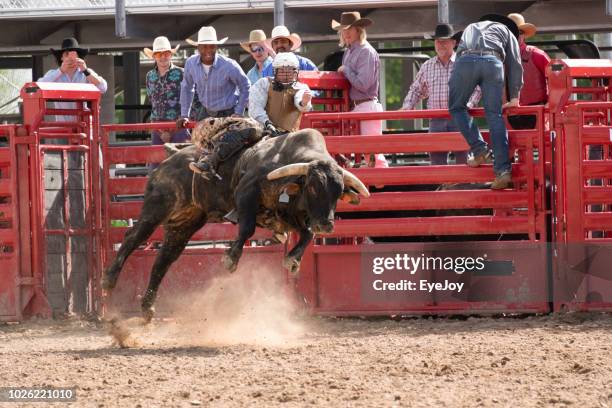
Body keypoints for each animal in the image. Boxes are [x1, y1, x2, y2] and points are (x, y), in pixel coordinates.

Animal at [101, 118, 368, 322]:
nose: (327, 225)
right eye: (313, 187)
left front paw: (293, 260)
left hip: (184, 223)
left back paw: (147, 308)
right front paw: (230, 258)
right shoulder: (246, 193)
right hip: (158, 205)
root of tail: (170, 159)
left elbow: (307, 234)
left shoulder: (287, 215)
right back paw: (108, 280)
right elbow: (247, 228)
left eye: (338, 192)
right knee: (134, 237)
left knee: (163, 260)